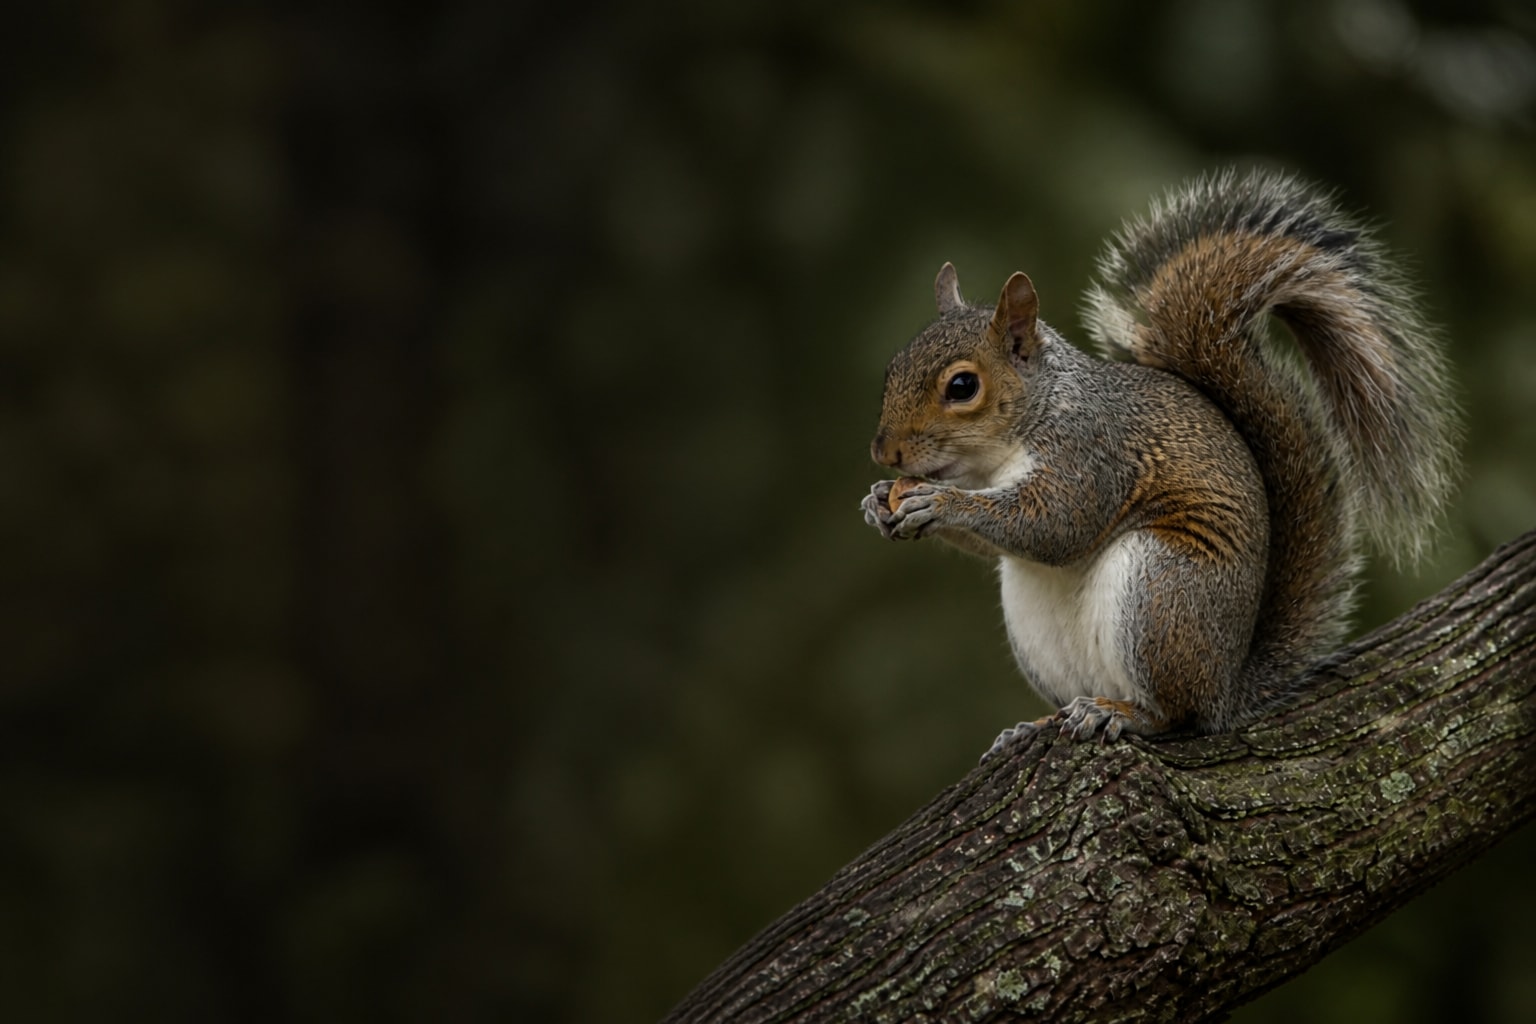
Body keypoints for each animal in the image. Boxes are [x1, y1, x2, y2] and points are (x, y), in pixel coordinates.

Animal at [860, 169, 1460, 758]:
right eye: (892, 368)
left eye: (962, 386)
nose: (884, 453)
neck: (1005, 448)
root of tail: (1226, 686)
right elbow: (1001, 542)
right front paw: (877, 502)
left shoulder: (1092, 453)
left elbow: (1056, 525)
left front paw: (938, 502)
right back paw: (1037, 725)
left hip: (1160, 591)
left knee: (1177, 714)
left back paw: (1122, 714)